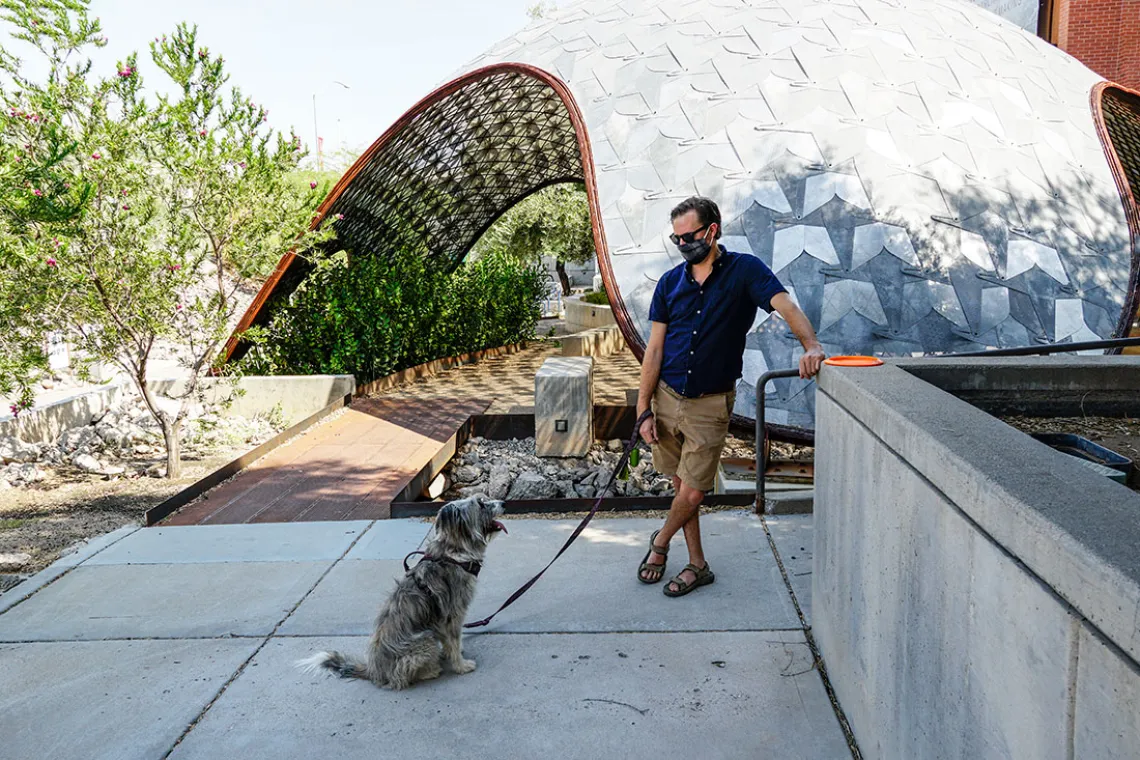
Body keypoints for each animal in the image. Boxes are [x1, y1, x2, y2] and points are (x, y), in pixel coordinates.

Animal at [296, 496, 506, 692]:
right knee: (400, 677)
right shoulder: (452, 615)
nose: (504, 503)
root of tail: (373, 670)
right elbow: (453, 641)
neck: (454, 552)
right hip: (425, 639)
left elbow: (451, 642)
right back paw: (430, 670)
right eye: (481, 504)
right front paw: (461, 666)